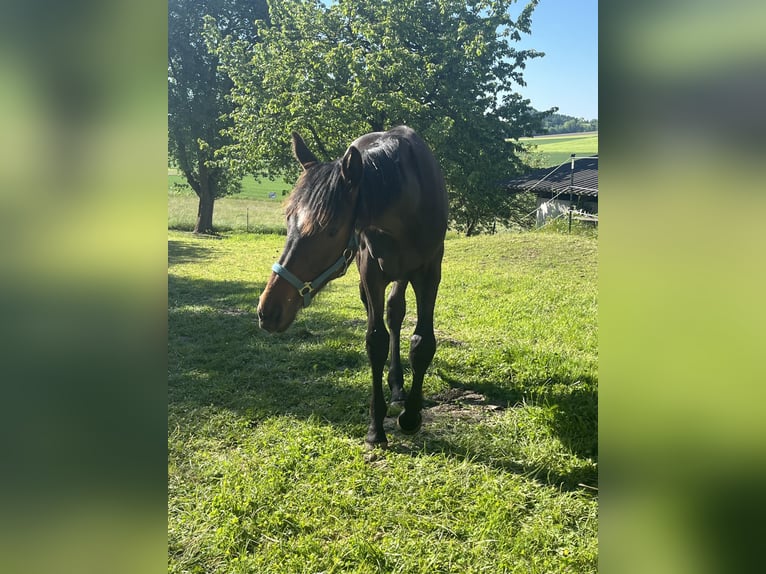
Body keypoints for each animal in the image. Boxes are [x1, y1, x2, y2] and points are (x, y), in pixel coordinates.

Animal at [257, 126, 448, 449]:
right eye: (289, 219)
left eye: (331, 230)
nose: (268, 311)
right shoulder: (371, 273)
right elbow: (376, 341)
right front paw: (375, 428)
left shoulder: (429, 273)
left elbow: (423, 342)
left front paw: (411, 416)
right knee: (389, 315)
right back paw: (396, 385)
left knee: (396, 312)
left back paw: (399, 389)